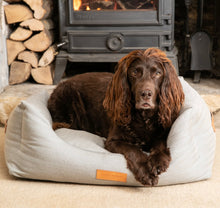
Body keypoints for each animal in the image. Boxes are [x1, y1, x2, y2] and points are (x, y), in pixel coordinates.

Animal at [47, 48, 184, 186]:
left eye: (158, 73)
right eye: (134, 72)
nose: (146, 94)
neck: (143, 117)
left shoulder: (162, 133)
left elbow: (160, 144)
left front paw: (158, 161)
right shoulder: (112, 141)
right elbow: (133, 149)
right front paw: (146, 171)